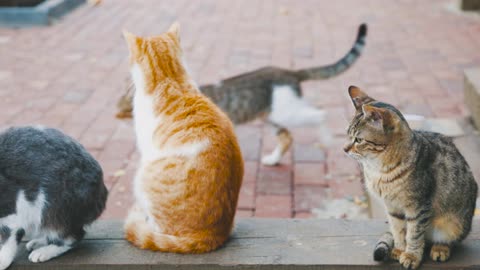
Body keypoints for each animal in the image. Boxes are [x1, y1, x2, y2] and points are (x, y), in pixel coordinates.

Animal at [0, 126, 106, 270]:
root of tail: (102, 192)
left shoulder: (11, 208)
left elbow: (8, 235)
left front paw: (2, 261)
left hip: (56, 209)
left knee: (73, 236)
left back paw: (41, 253)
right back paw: (37, 243)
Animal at [344, 86, 476, 268]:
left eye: (358, 139)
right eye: (348, 135)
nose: (344, 149)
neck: (379, 170)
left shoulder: (418, 207)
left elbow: (414, 234)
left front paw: (412, 255)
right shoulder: (393, 208)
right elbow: (399, 230)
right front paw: (400, 249)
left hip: (455, 223)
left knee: (448, 240)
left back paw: (440, 248)